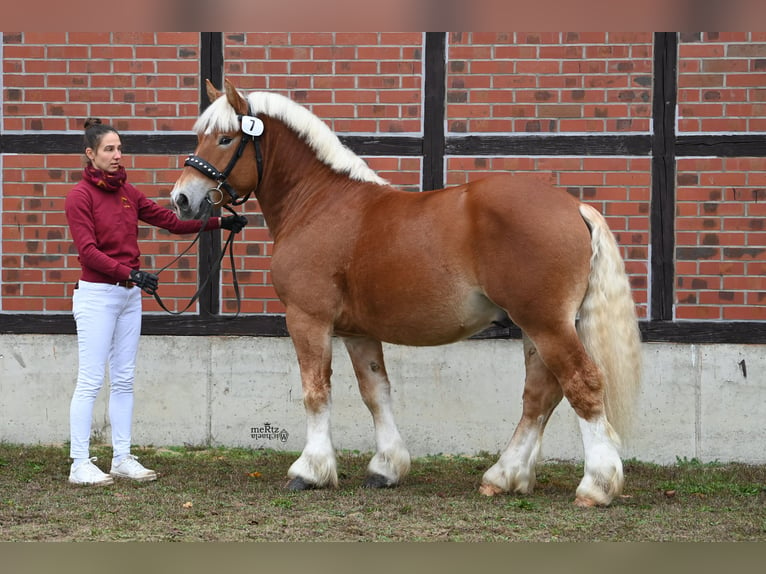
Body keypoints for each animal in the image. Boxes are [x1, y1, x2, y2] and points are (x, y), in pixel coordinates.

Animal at [172, 81, 640, 508]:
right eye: (202, 136)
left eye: (225, 138)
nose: (182, 198)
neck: (319, 203)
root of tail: (574, 207)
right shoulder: (357, 332)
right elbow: (375, 393)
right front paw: (386, 468)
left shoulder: (308, 319)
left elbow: (315, 391)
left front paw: (310, 470)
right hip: (535, 327)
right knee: (540, 395)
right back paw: (504, 476)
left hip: (546, 323)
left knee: (582, 384)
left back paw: (596, 486)